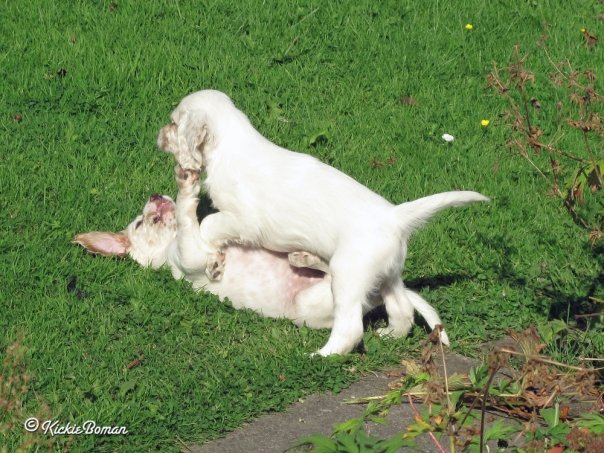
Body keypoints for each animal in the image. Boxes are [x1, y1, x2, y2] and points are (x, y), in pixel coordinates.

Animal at [72, 164, 448, 338]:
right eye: (139, 225)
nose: (153, 196)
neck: (166, 250)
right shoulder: (190, 258)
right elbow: (189, 217)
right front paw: (186, 188)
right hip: (316, 305)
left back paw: (304, 257)